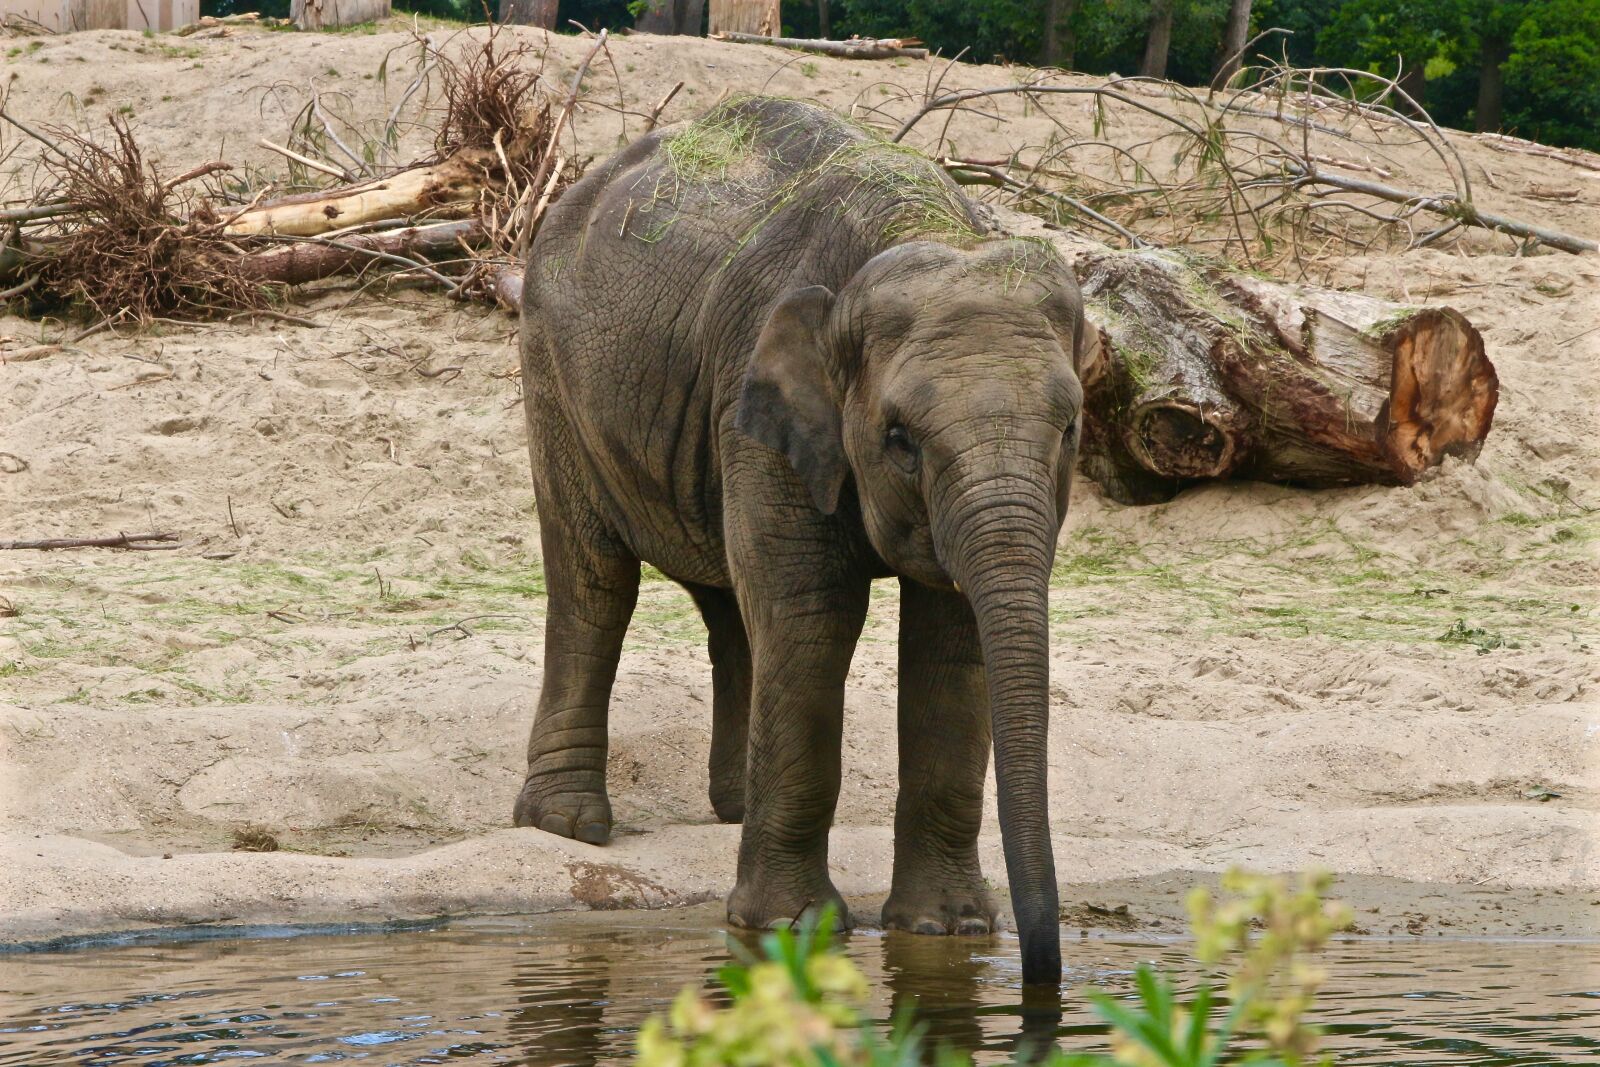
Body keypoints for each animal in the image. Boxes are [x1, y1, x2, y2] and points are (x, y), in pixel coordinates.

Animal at [514, 96, 1092, 986]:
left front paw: (946, 930)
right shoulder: (761, 403)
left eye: (1070, 429)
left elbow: (950, 638)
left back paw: (732, 807)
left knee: (729, 606)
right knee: (595, 581)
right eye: (900, 439)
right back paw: (568, 825)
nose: (1039, 975)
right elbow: (812, 615)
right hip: (552, 370)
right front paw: (788, 928)